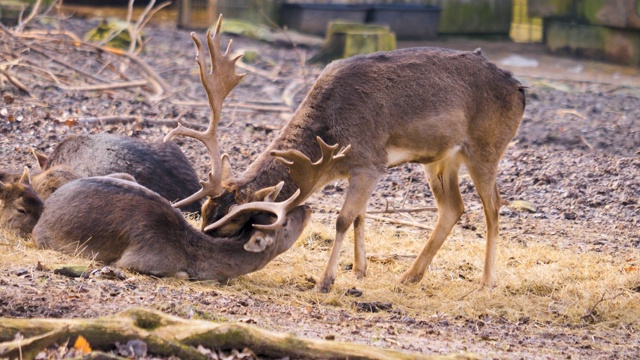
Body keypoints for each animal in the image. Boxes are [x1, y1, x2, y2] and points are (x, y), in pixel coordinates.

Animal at [168, 16, 528, 292]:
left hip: (486, 147)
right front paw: (359, 270)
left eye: (231, 224)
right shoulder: (359, 168)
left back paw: (486, 282)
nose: (200, 244)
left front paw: (326, 281)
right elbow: (359, 216)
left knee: (493, 206)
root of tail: (520, 89)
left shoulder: (370, 161)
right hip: (441, 159)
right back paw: (409, 276)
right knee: (454, 207)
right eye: (204, 212)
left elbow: (342, 219)